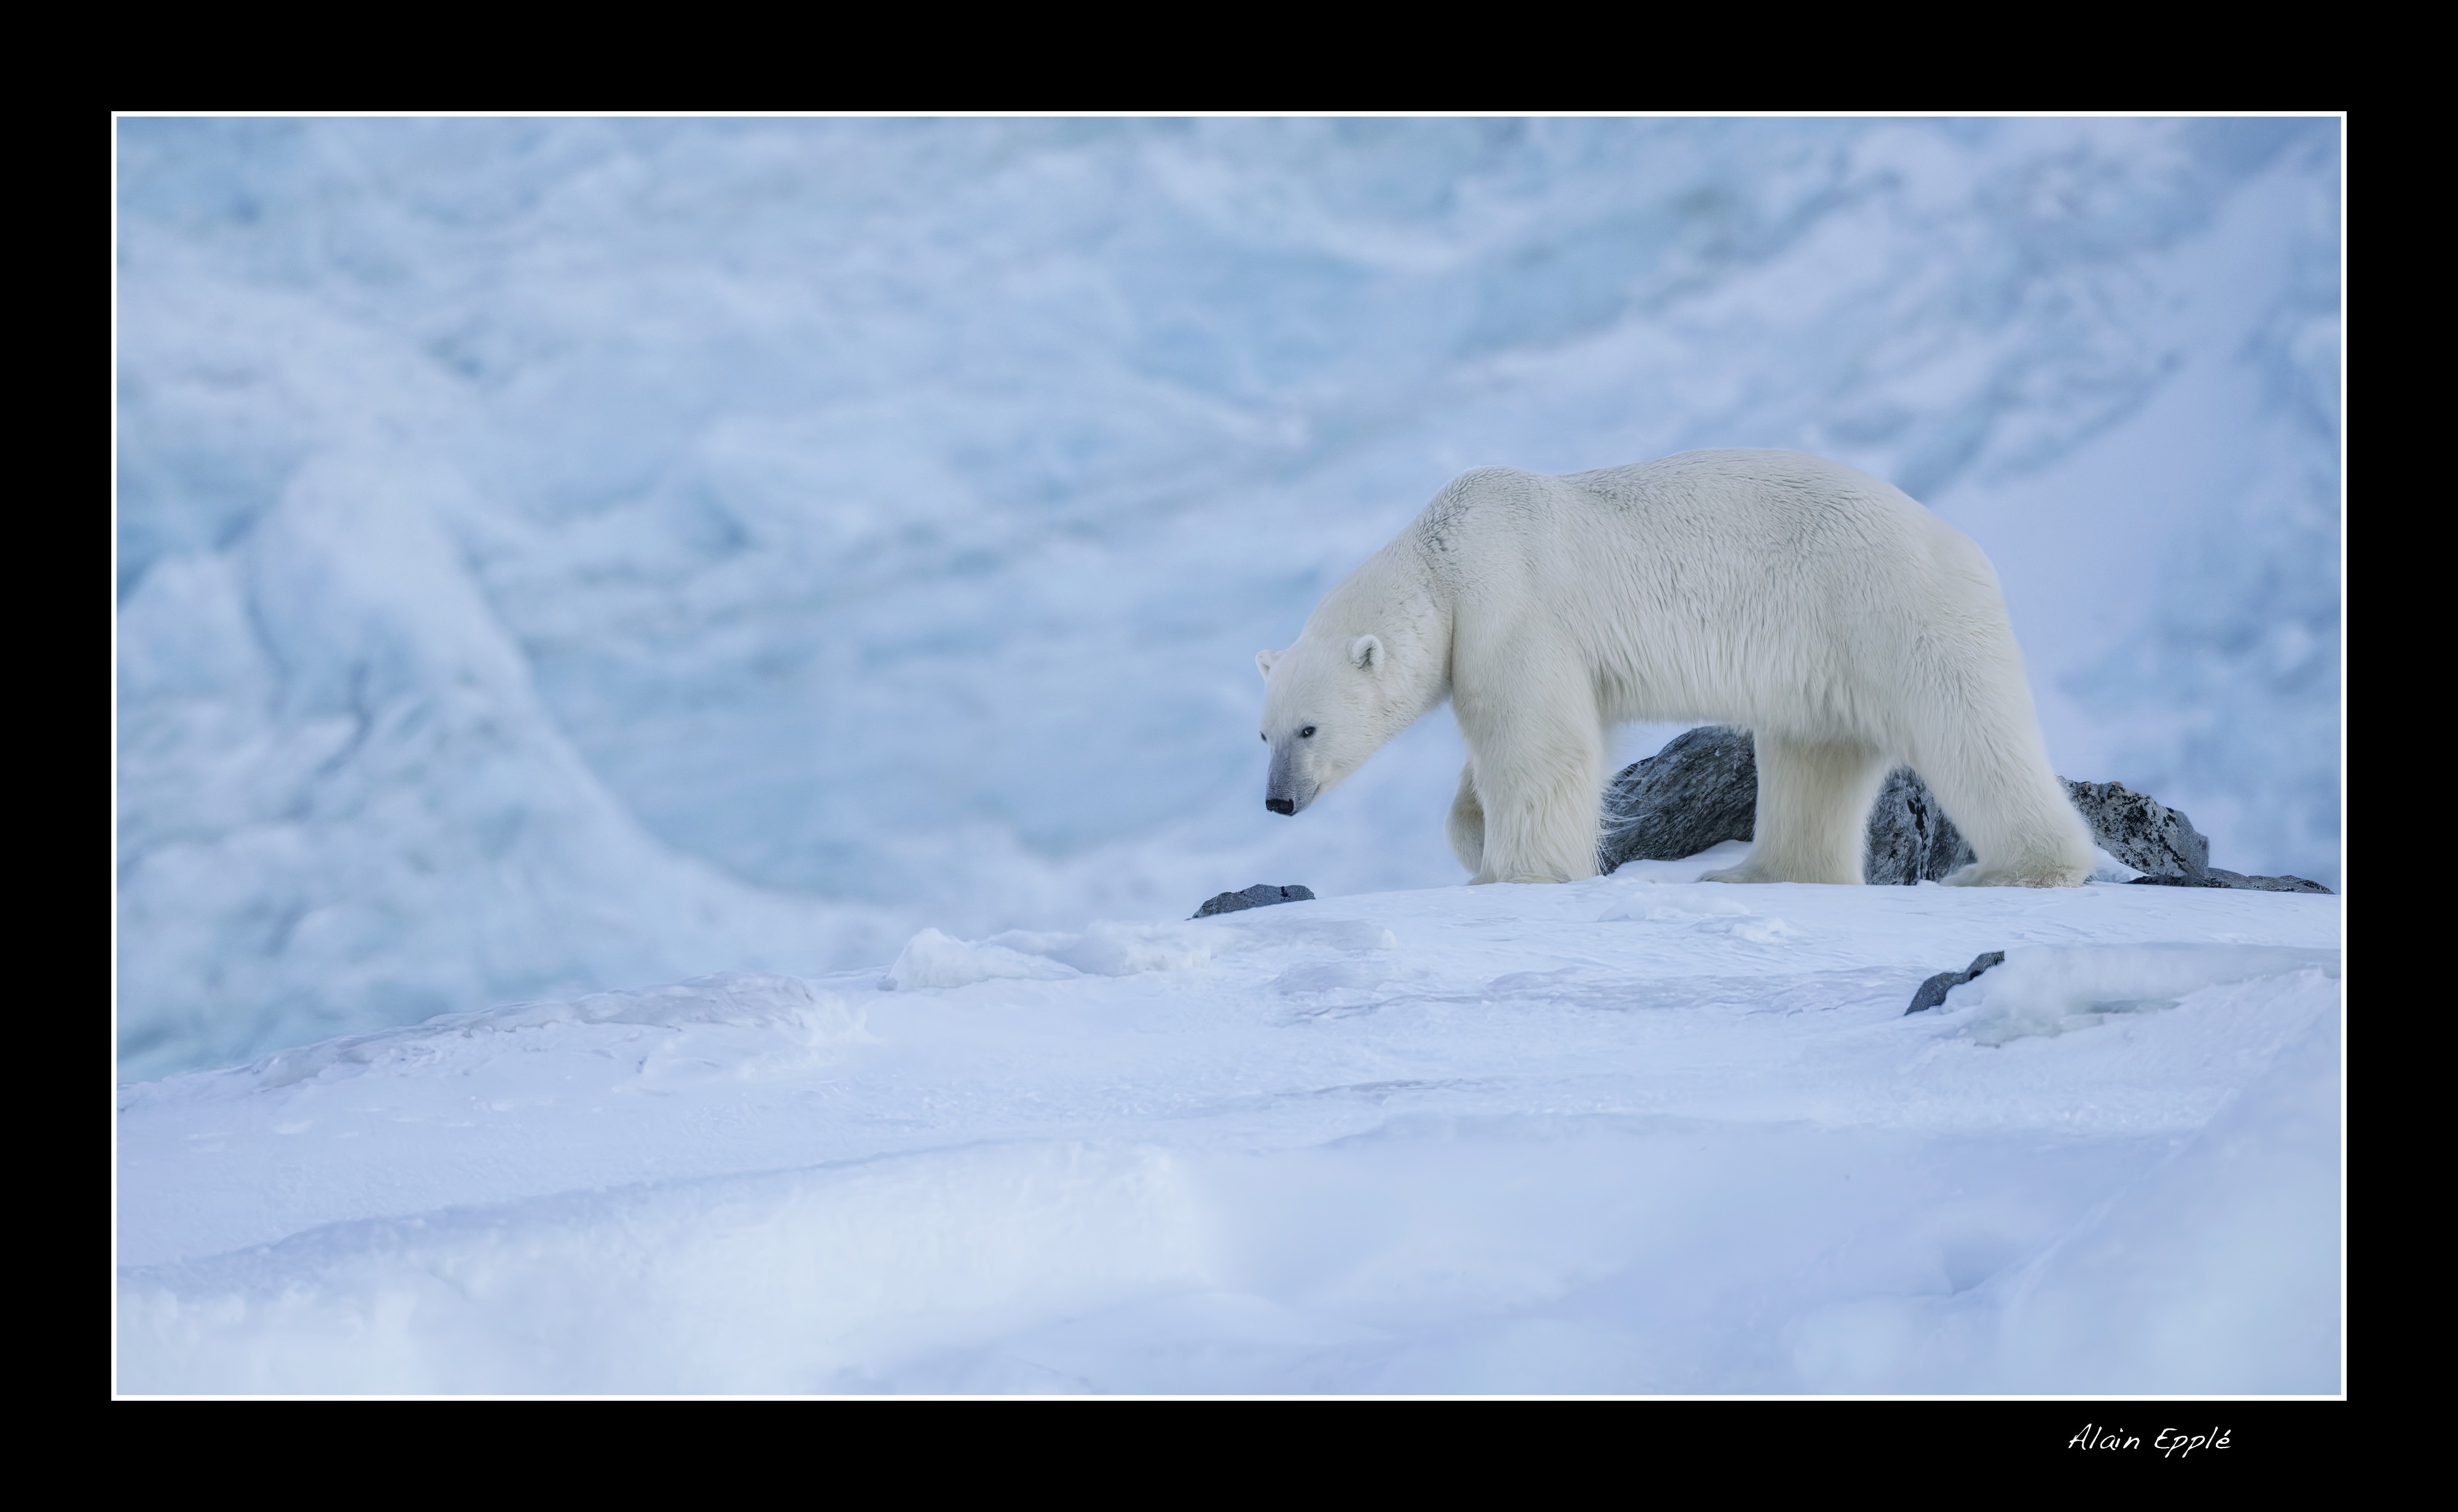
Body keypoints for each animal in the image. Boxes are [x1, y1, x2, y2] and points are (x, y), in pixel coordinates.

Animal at [1268, 455, 2094, 895]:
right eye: (1263, 734)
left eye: (1308, 728)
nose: (1277, 801)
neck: (1445, 557)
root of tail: (1959, 542)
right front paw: (1483, 844)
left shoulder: (1510, 610)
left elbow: (1539, 747)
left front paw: (1513, 874)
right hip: (1824, 652)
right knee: (1814, 757)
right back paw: (1758, 872)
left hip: (1888, 605)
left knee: (1968, 726)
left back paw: (2016, 868)